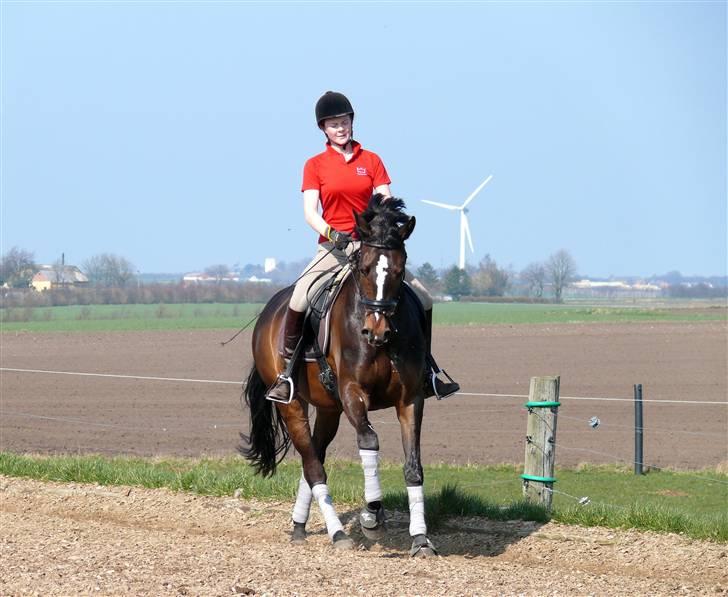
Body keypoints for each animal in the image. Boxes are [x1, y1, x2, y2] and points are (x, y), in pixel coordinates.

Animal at [242, 194, 438, 556]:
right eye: (364, 269)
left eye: (400, 270)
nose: (376, 331)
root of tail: (269, 312)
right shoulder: (352, 392)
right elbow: (369, 440)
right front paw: (372, 516)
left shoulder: (410, 399)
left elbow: (414, 465)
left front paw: (420, 539)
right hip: (292, 406)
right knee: (313, 466)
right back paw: (337, 533)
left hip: (328, 409)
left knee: (314, 459)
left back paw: (299, 525)